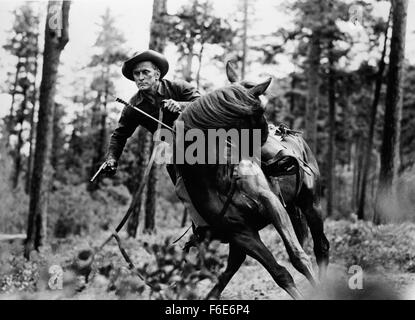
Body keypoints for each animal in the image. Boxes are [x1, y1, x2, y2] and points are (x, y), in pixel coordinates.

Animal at [172, 62, 328, 300]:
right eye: (261, 110)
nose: (266, 134)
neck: (220, 176)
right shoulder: (241, 233)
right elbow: (279, 273)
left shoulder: (272, 205)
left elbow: (298, 257)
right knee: (233, 266)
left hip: (311, 204)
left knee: (321, 247)